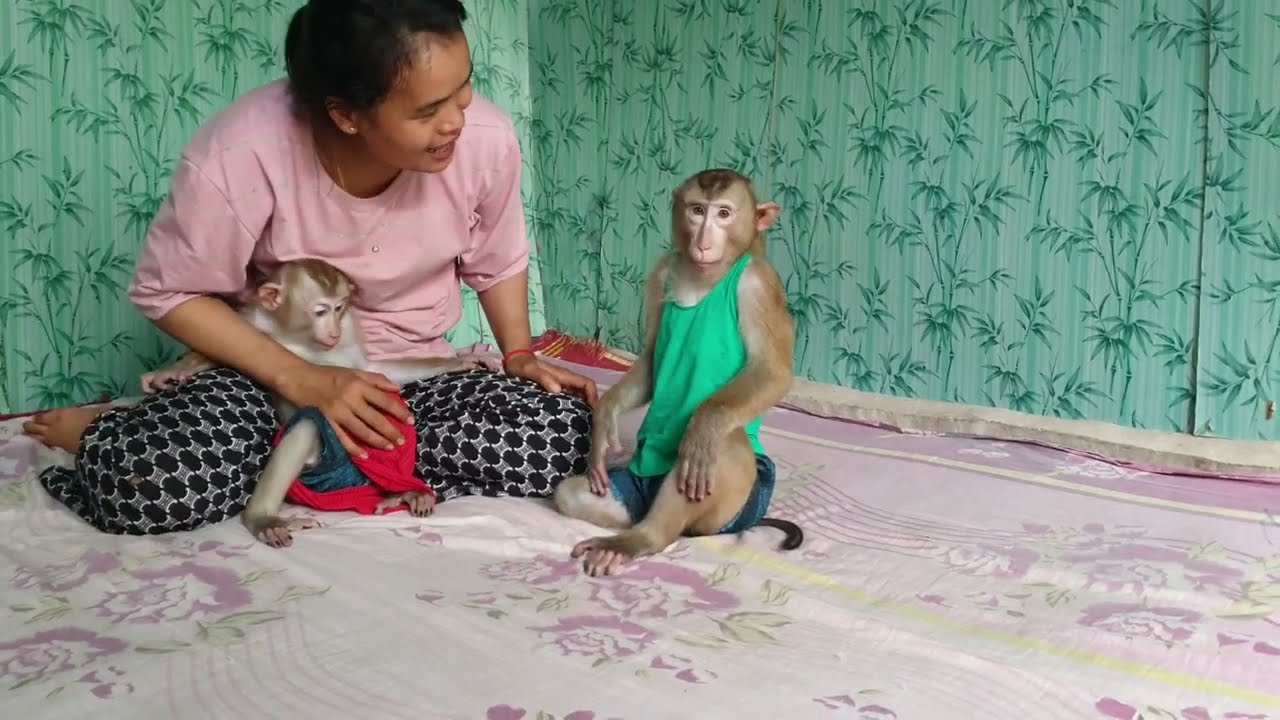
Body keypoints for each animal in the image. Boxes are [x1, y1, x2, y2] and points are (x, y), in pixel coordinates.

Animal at [140, 259, 499, 547]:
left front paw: (461, 360)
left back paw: (402, 492)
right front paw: (178, 368)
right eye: (321, 311)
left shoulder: (351, 335)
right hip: (320, 470)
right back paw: (263, 517)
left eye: (340, 308)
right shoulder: (257, 323)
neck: (298, 336)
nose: (333, 331)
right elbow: (229, 347)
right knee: (308, 426)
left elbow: (376, 372)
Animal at [553, 169, 803, 577]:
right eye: (697, 210)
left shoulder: (758, 282)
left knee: (724, 446)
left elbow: (773, 373)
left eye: (723, 214)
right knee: (574, 495)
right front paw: (604, 421)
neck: (707, 275)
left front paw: (703, 426)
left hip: (735, 511)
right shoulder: (660, 273)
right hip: (638, 489)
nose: (703, 241)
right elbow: (653, 360)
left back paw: (643, 538)